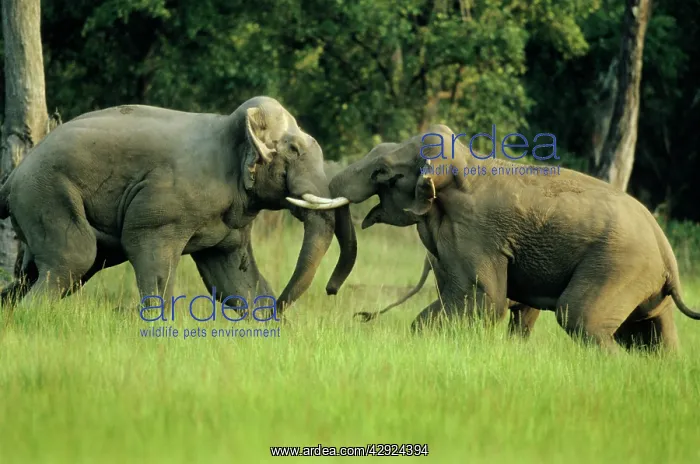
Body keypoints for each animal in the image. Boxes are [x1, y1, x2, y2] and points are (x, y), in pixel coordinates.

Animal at [0, 96, 356, 319]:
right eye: (293, 149)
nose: (279, 308)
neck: (231, 128)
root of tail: (13, 176)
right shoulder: (163, 209)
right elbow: (151, 254)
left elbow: (233, 279)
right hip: (46, 193)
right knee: (76, 258)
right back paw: (29, 316)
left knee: (40, 273)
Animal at [328, 124, 700, 352]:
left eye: (382, 173)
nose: (334, 294)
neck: (460, 163)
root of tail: (668, 255)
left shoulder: (476, 232)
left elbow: (484, 300)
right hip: (642, 282)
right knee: (650, 335)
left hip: (618, 265)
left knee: (580, 317)